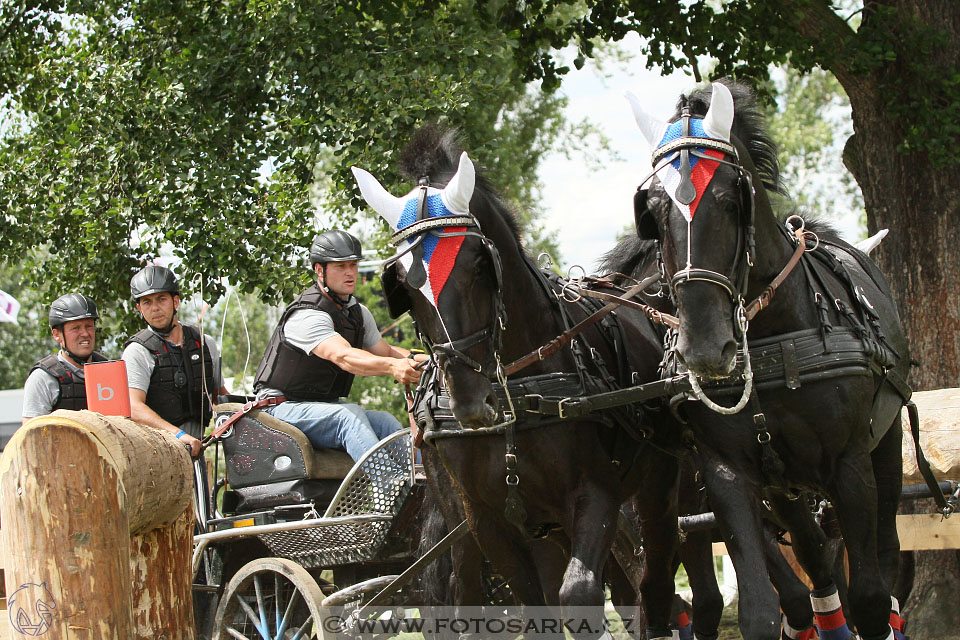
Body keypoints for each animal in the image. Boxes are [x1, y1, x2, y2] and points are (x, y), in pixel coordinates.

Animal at [354, 126, 712, 640]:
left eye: (478, 264)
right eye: (402, 281)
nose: (469, 402)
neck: (515, 399)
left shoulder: (595, 496)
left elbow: (579, 594)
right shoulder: (489, 521)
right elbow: (533, 603)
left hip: (655, 489)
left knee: (655, 582)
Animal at [616, 80, 916, 640]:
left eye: (729, 200)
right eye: (655, 210)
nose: (706, 349)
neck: (774, 338)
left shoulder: (849, 467)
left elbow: (867, 595)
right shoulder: (727, 475)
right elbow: (760, 604)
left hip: (882, 448)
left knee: (880, 555)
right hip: (782, 489)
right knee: (812, 562)